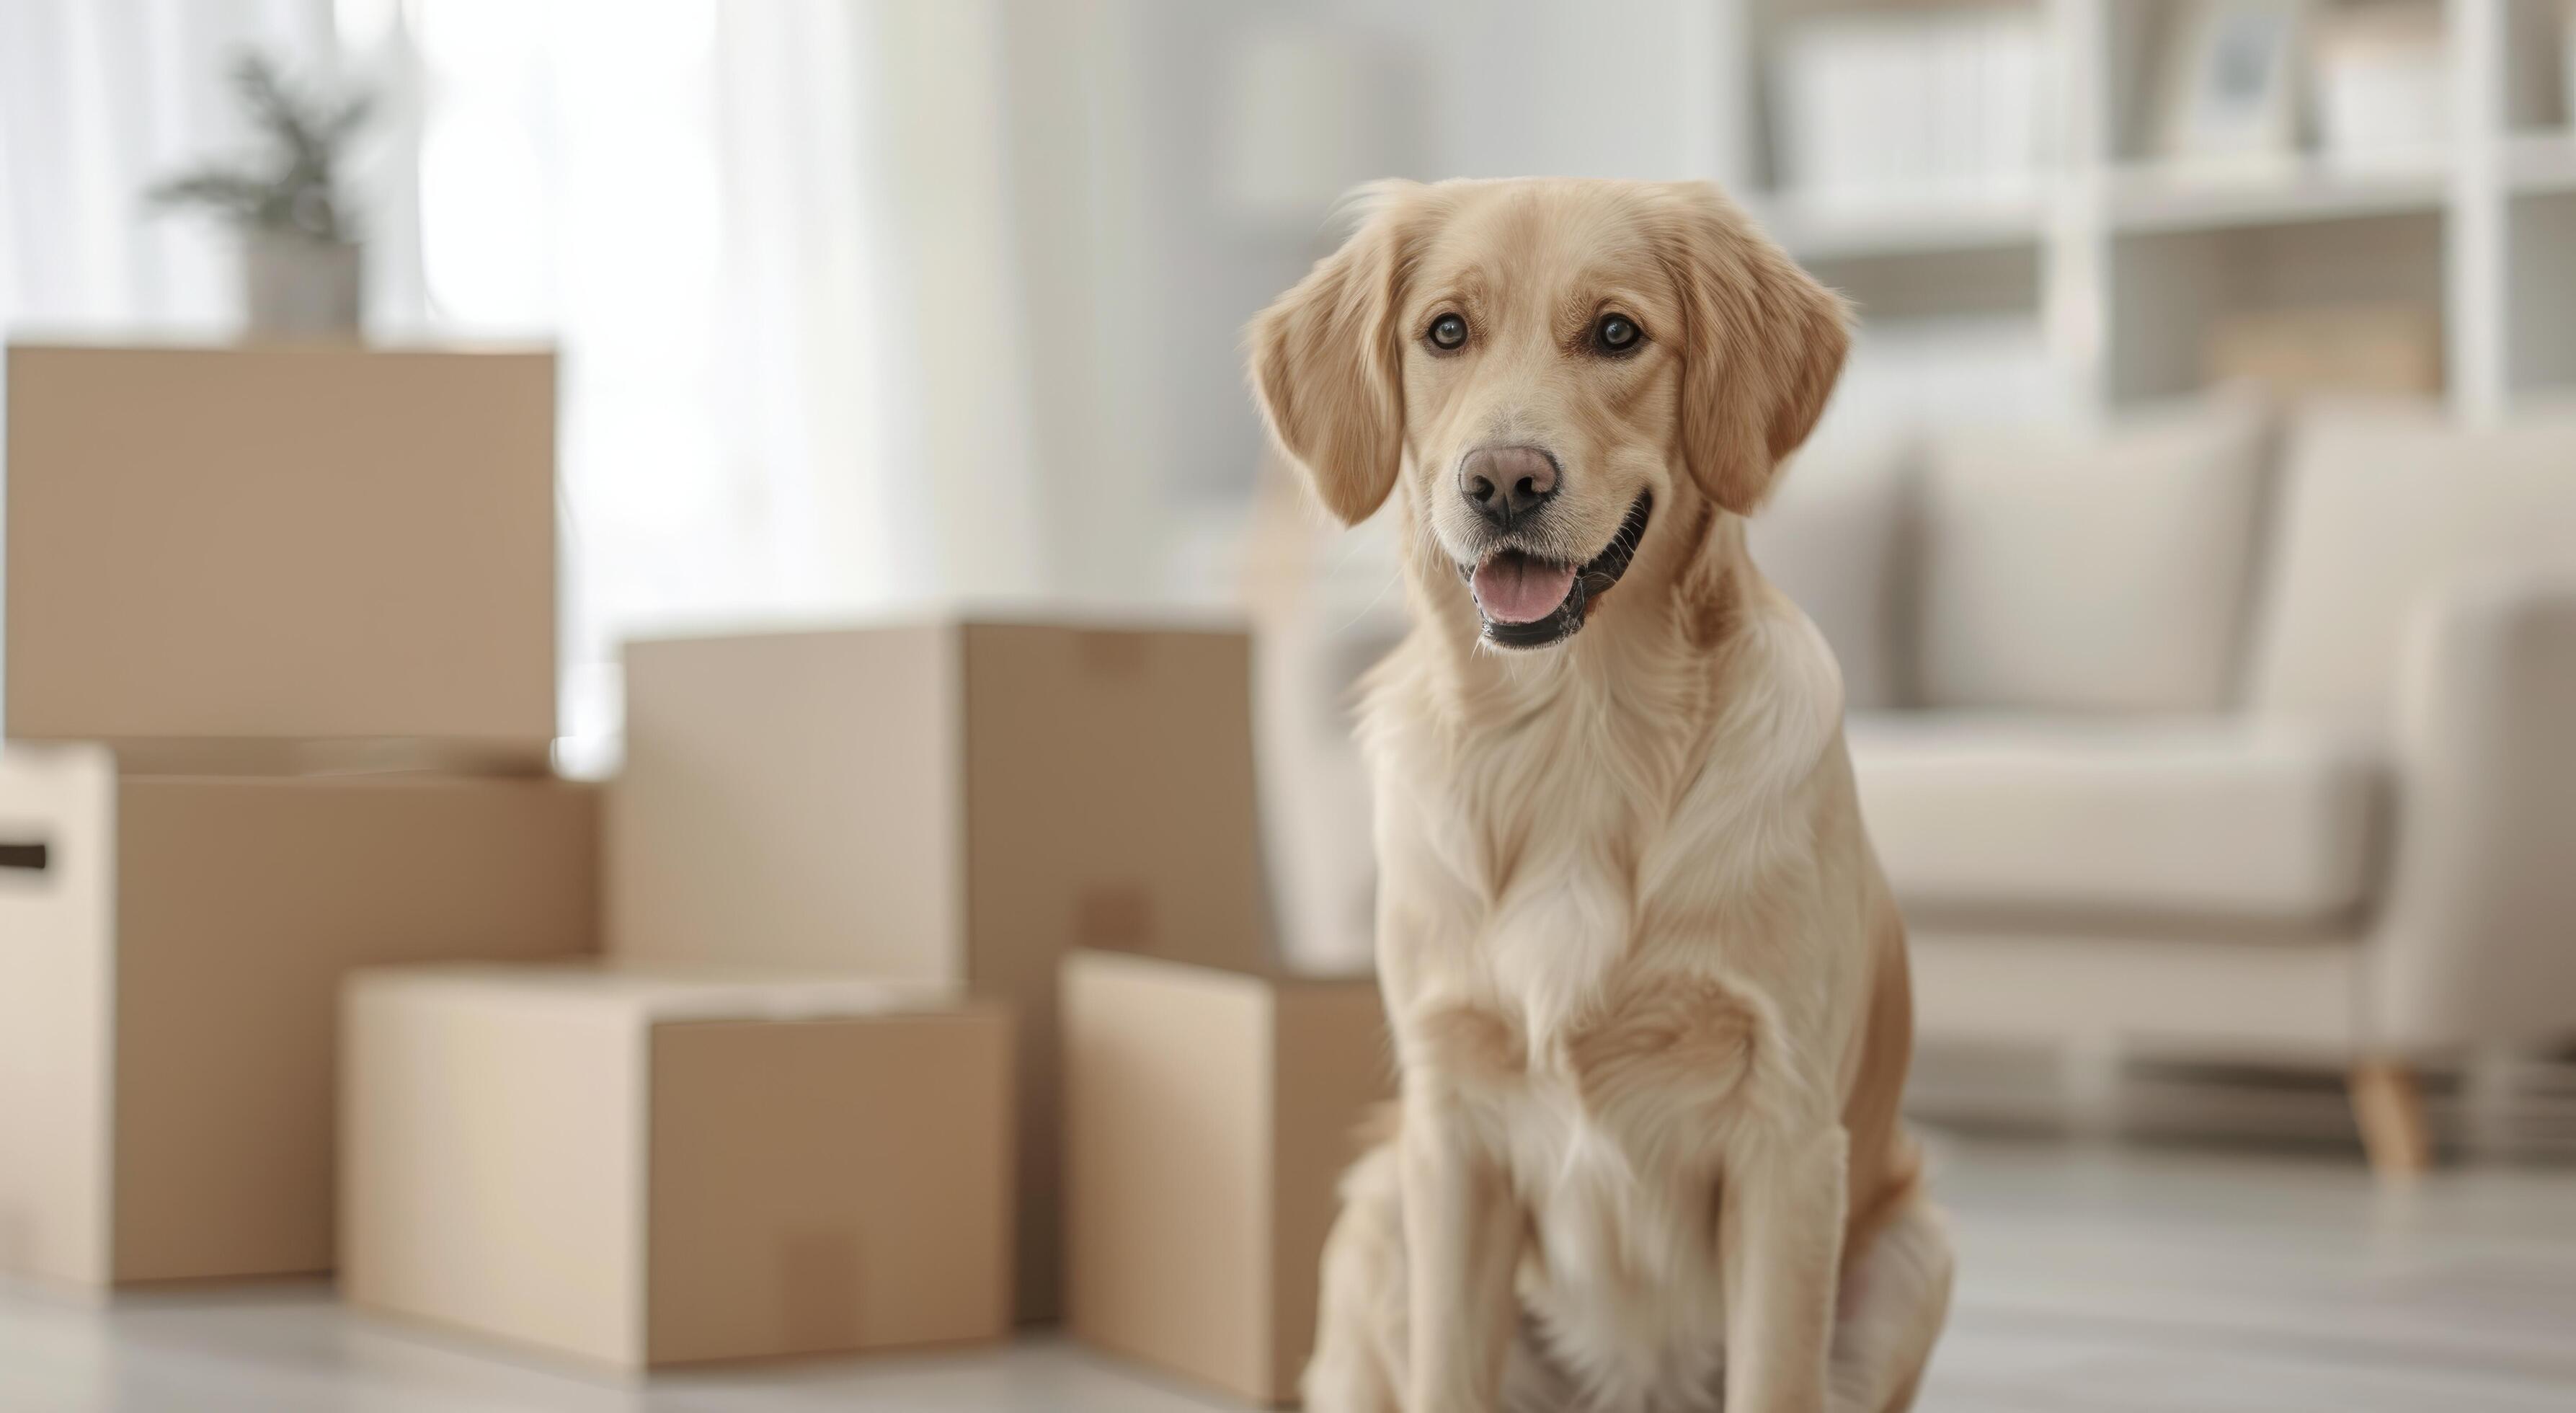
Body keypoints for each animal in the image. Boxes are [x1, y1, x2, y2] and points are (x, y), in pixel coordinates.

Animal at [1246, 179, 1947, 1413]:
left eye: (1616, 333)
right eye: (1444, 331)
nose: (1502, 480)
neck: (1573, 738)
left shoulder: (1787, 1141)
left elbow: (1773, 1375)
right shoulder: (1449, 1134)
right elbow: (1446, 1379)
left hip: (1916, 1248)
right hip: (1376, 1214)